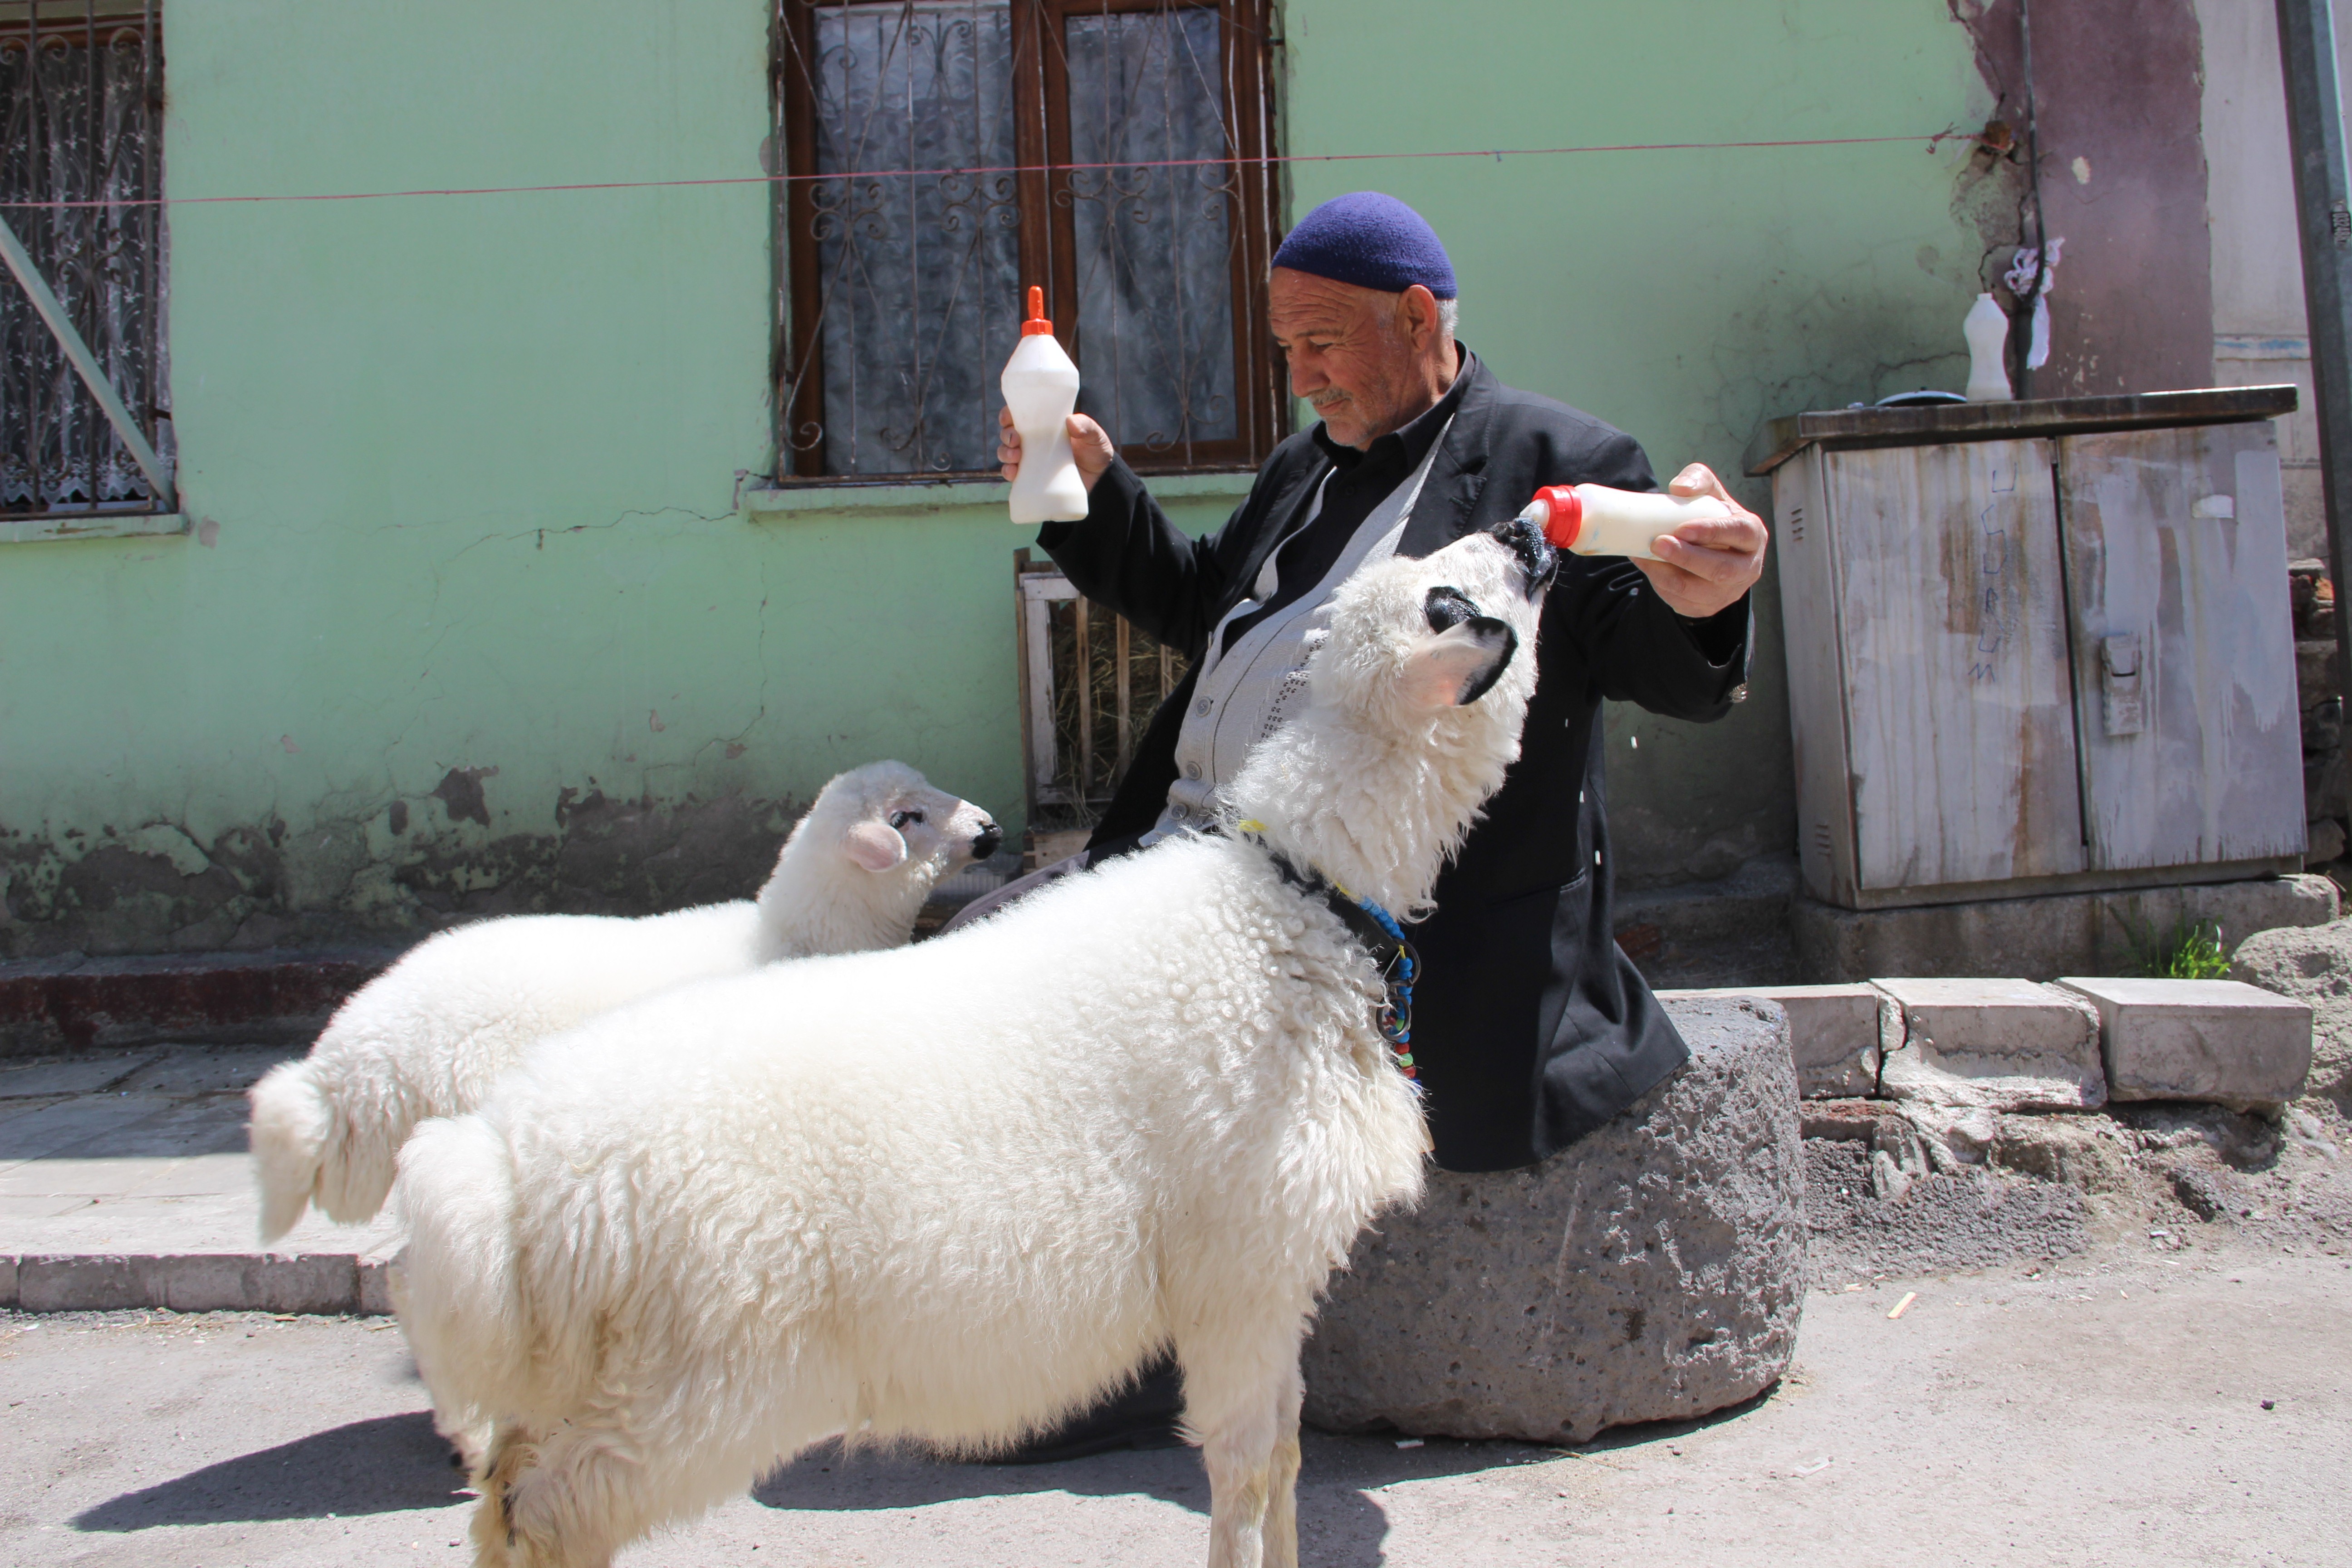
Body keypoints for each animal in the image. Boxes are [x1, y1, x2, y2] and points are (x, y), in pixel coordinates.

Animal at [395, 517, 1552, 1568]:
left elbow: (1288, 1456)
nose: (1529, 530)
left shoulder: (1280, 1277)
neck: (1293, 902)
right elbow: (1246, 1469)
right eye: (1444, 602)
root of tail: (502, 1170)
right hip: (697, 1382)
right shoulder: (1241, 1271)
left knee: (503, 1489)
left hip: (588, 1378)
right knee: (547, 1512)